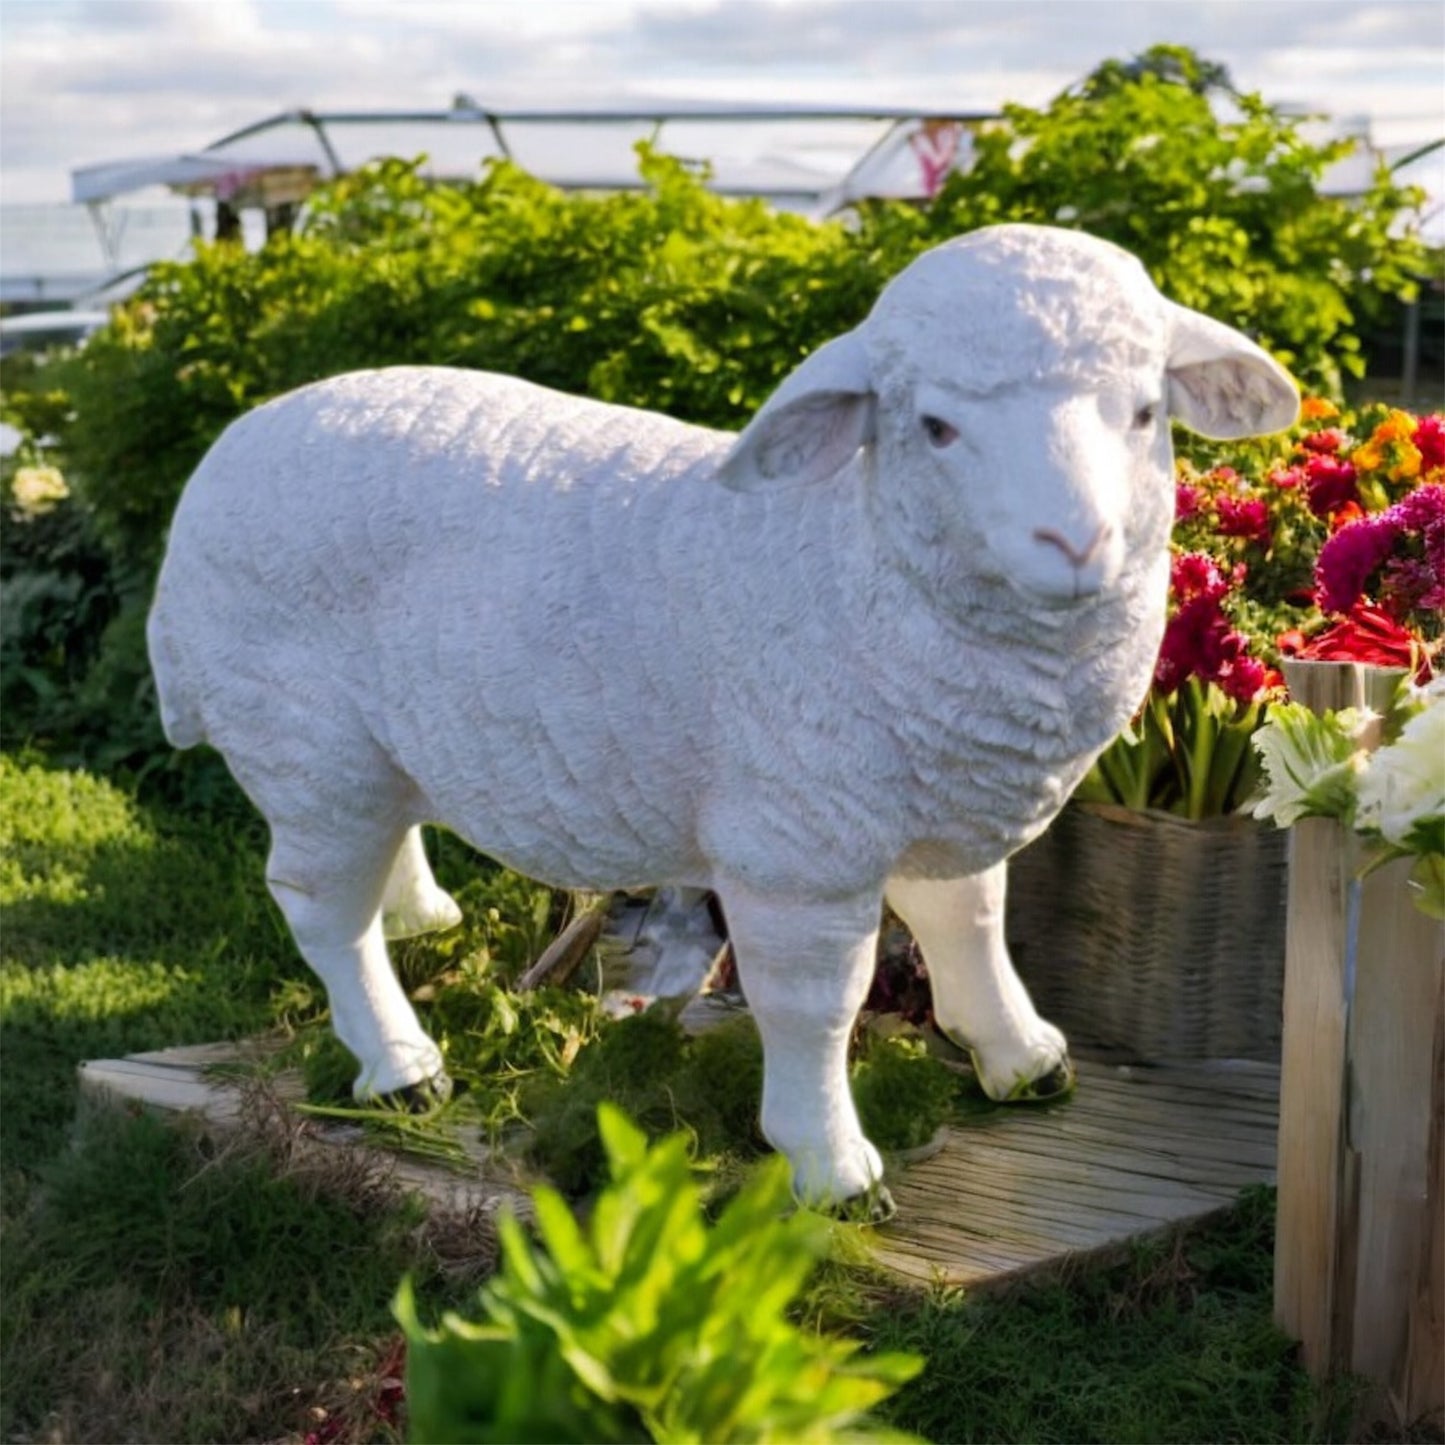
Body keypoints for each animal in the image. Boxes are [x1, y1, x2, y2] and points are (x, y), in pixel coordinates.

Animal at [147, 223, 1298, 1212]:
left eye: (1142, 412)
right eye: (934, 427)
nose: (1075, 541)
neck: (849, 553)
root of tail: (222, 458)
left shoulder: (931, 794)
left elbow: (968, 922)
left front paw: (1022, 1059)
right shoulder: (798, 845)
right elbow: (815, 1003)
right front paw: (831, 1168)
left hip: (364, 750)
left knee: (380, 850)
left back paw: (422, 919)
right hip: (301, 738)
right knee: (318, 909)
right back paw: (399, 1064)